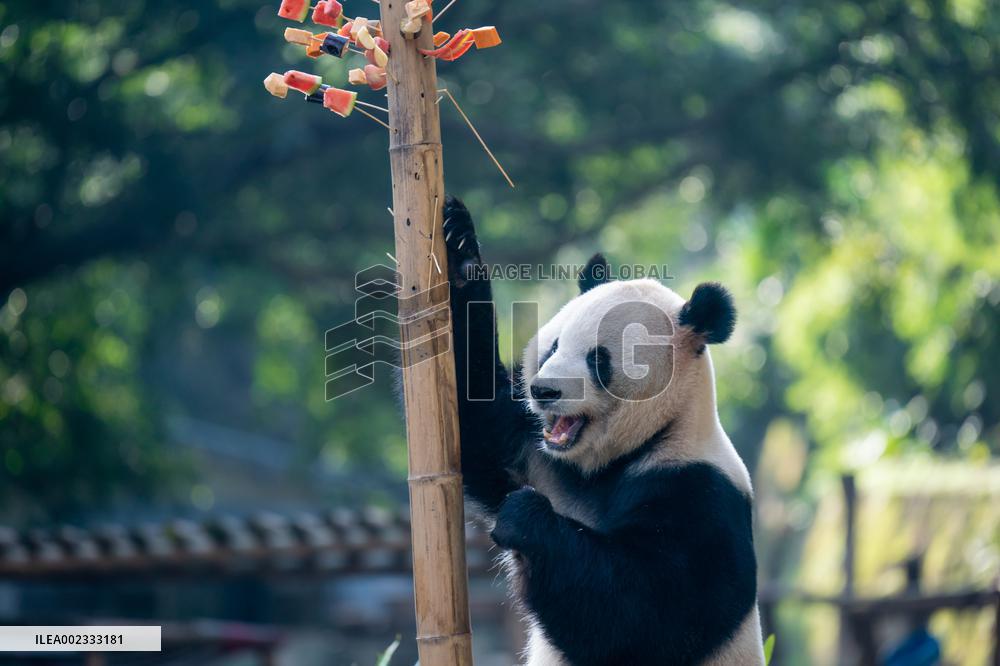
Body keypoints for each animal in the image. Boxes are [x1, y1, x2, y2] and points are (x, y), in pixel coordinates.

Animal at [441, 196, 764, 666]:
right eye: (554, 346)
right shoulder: (538, 457)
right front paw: (459, 246)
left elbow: (646, 614)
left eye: (599, 359)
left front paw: (523, 518)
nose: (542, 390)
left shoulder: (700, 493)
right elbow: (476, 415)